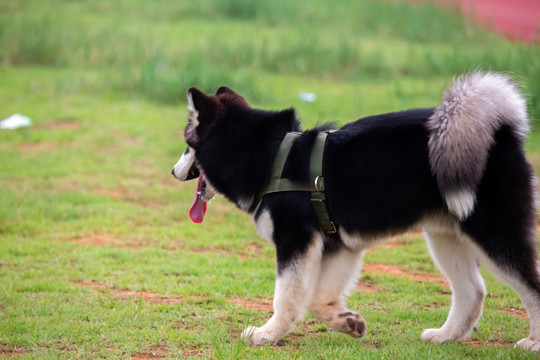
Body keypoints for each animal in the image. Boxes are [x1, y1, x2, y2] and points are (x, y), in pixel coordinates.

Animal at [172, 73, 540, 352]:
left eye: (188, 146)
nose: (174, 172)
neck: (271, 154)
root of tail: (500, 132)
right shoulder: (337, 244)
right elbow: (318, 299)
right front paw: (346, 322)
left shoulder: (295, 239)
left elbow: (286, 297)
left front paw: (267, 333)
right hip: (446, 237)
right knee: (472, 291)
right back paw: (445, 336)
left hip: (494, 232)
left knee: (530, 284)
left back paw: (533, 342)